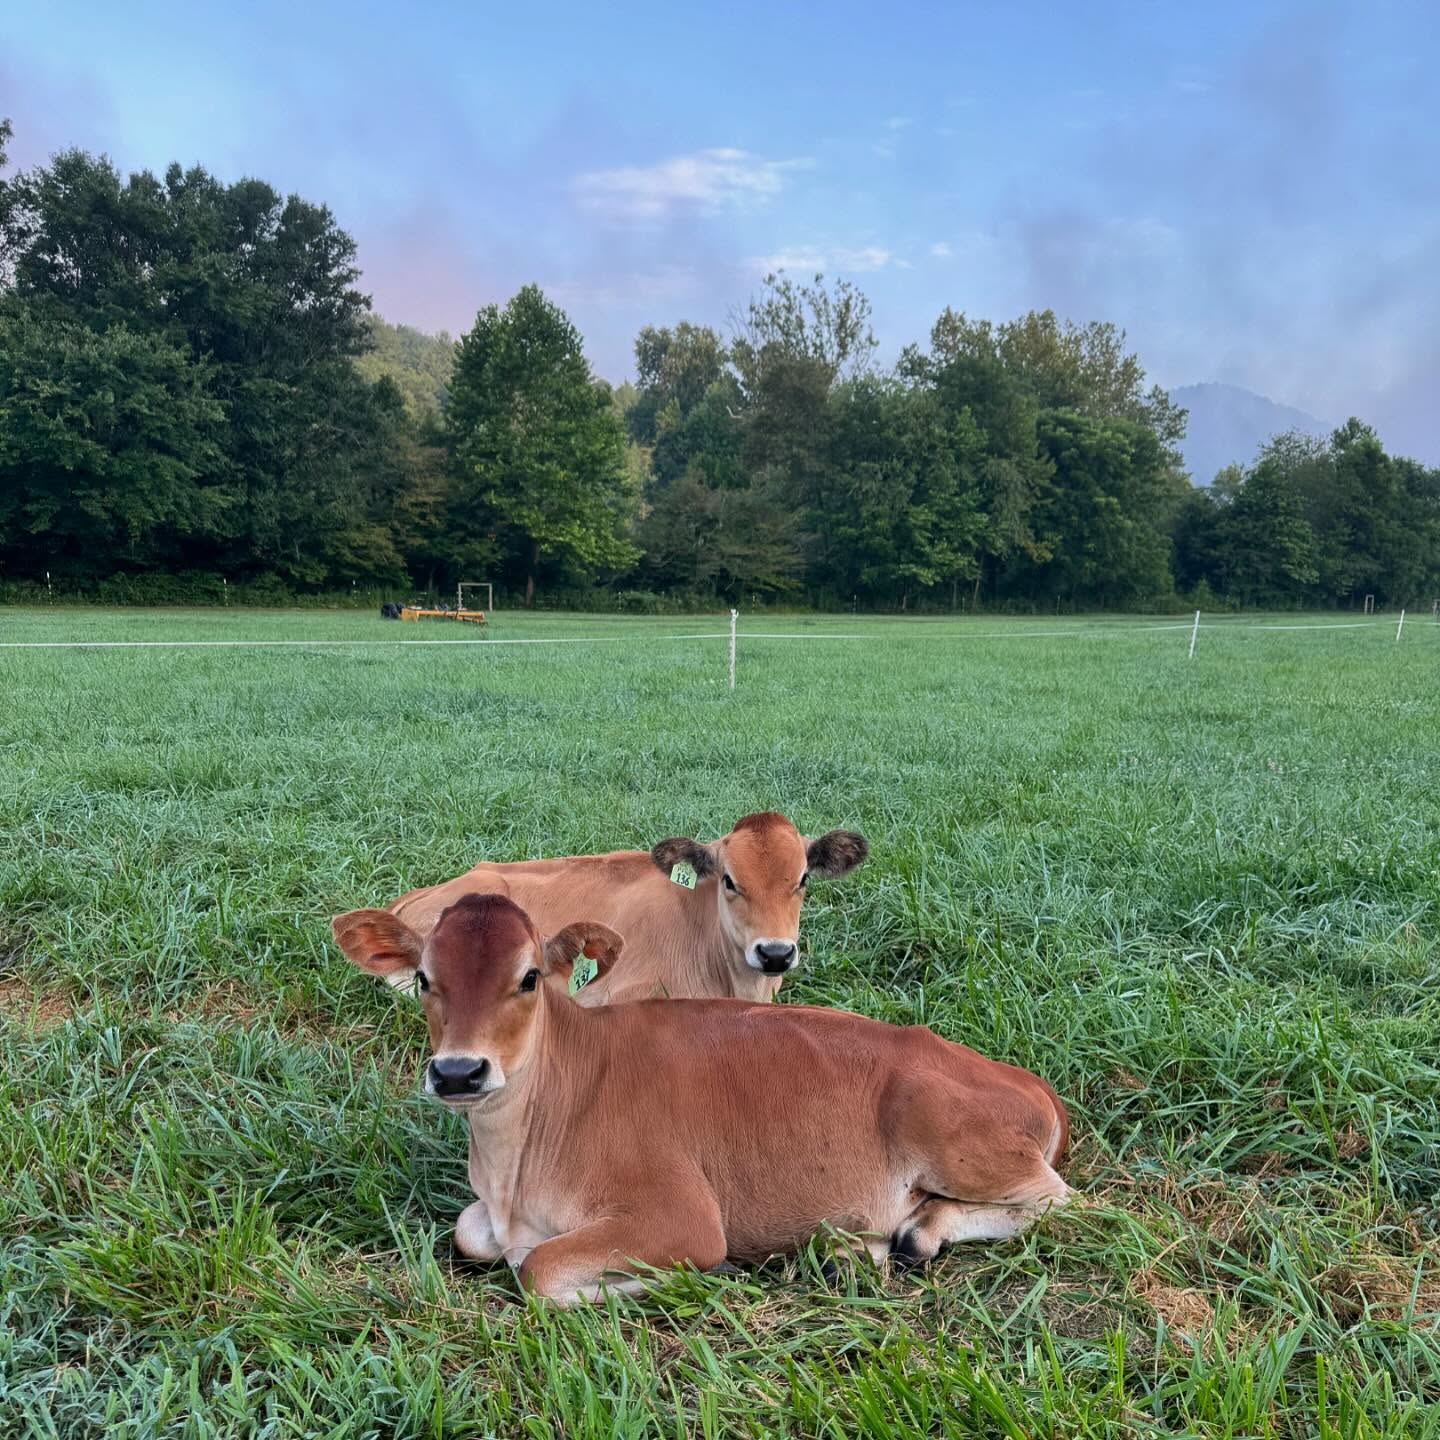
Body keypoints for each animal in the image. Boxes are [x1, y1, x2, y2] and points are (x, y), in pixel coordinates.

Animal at [334, 893, 1073, 1305]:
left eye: (529, 977)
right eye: (424, 978)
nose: (459, 1072)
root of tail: (1023, 1077)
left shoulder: (681, 1216)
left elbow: (539, 1270)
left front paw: (683, 1280)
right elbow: (472, 1233)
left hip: (959, 1141)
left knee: (1058, 1201)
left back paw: (919, 1233)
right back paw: (861, 1245)